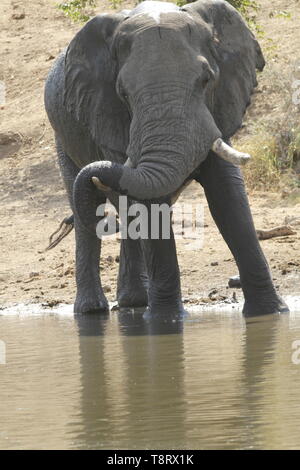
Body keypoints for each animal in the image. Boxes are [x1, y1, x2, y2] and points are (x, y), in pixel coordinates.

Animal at [44, 0, 288, 318]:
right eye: (123, 92)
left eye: (206, 80)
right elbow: (149, 205)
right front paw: (166, 321)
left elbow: (227, 195)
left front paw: (270, 313)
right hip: (63, 137)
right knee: (89, 204)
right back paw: (93, 311)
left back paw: (134, 302)